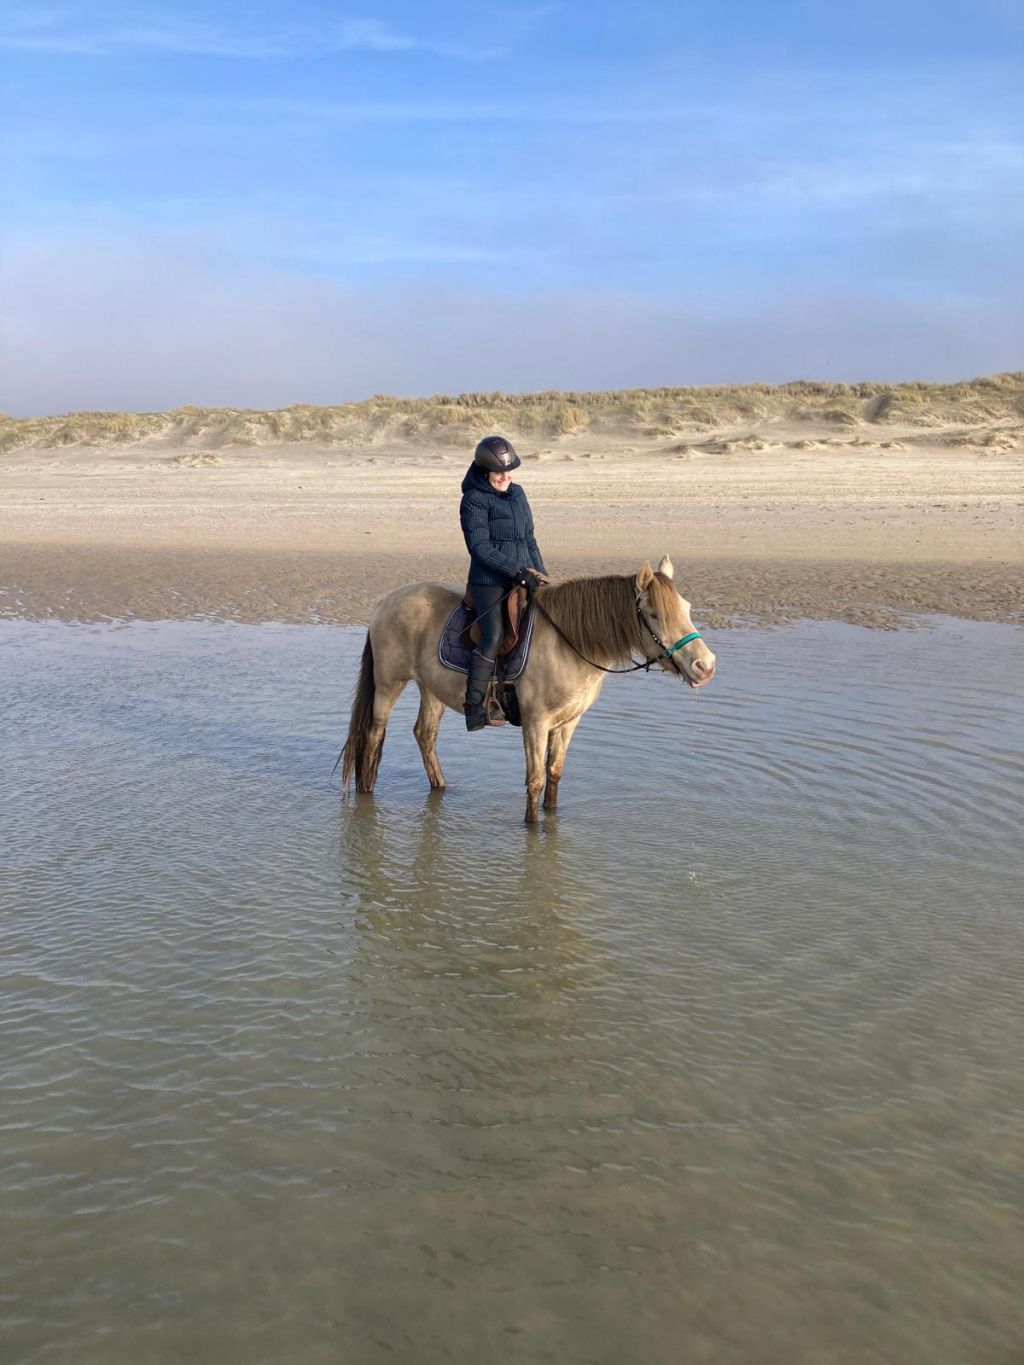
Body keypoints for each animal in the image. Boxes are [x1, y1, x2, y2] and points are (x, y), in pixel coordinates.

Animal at [340, 555, 716, 823]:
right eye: (653, 614)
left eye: (686, 608)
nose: (705, 665)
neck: (569, 644)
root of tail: (386, 602)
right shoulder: (536, 722)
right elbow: (535, 780)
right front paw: (533, 832)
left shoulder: (567, 723)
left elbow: (554, 773)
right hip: (389, 684)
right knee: (373, 737)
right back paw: (366, 796)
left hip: (431, 689)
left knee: (425, 735)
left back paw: (441, 788)